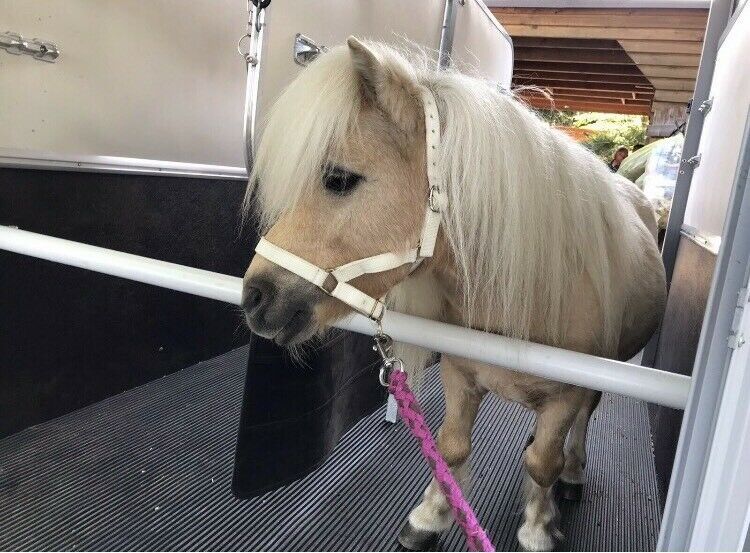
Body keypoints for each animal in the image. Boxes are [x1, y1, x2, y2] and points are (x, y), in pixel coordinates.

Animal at [239, 36, 664, 548]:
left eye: (338, 179)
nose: (254, 297)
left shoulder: (566, 393)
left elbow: (544, 464)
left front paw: (537, 529)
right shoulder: (460, 372)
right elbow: (452, 446)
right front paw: (432, 515)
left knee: (582, 422)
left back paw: (574, 474)